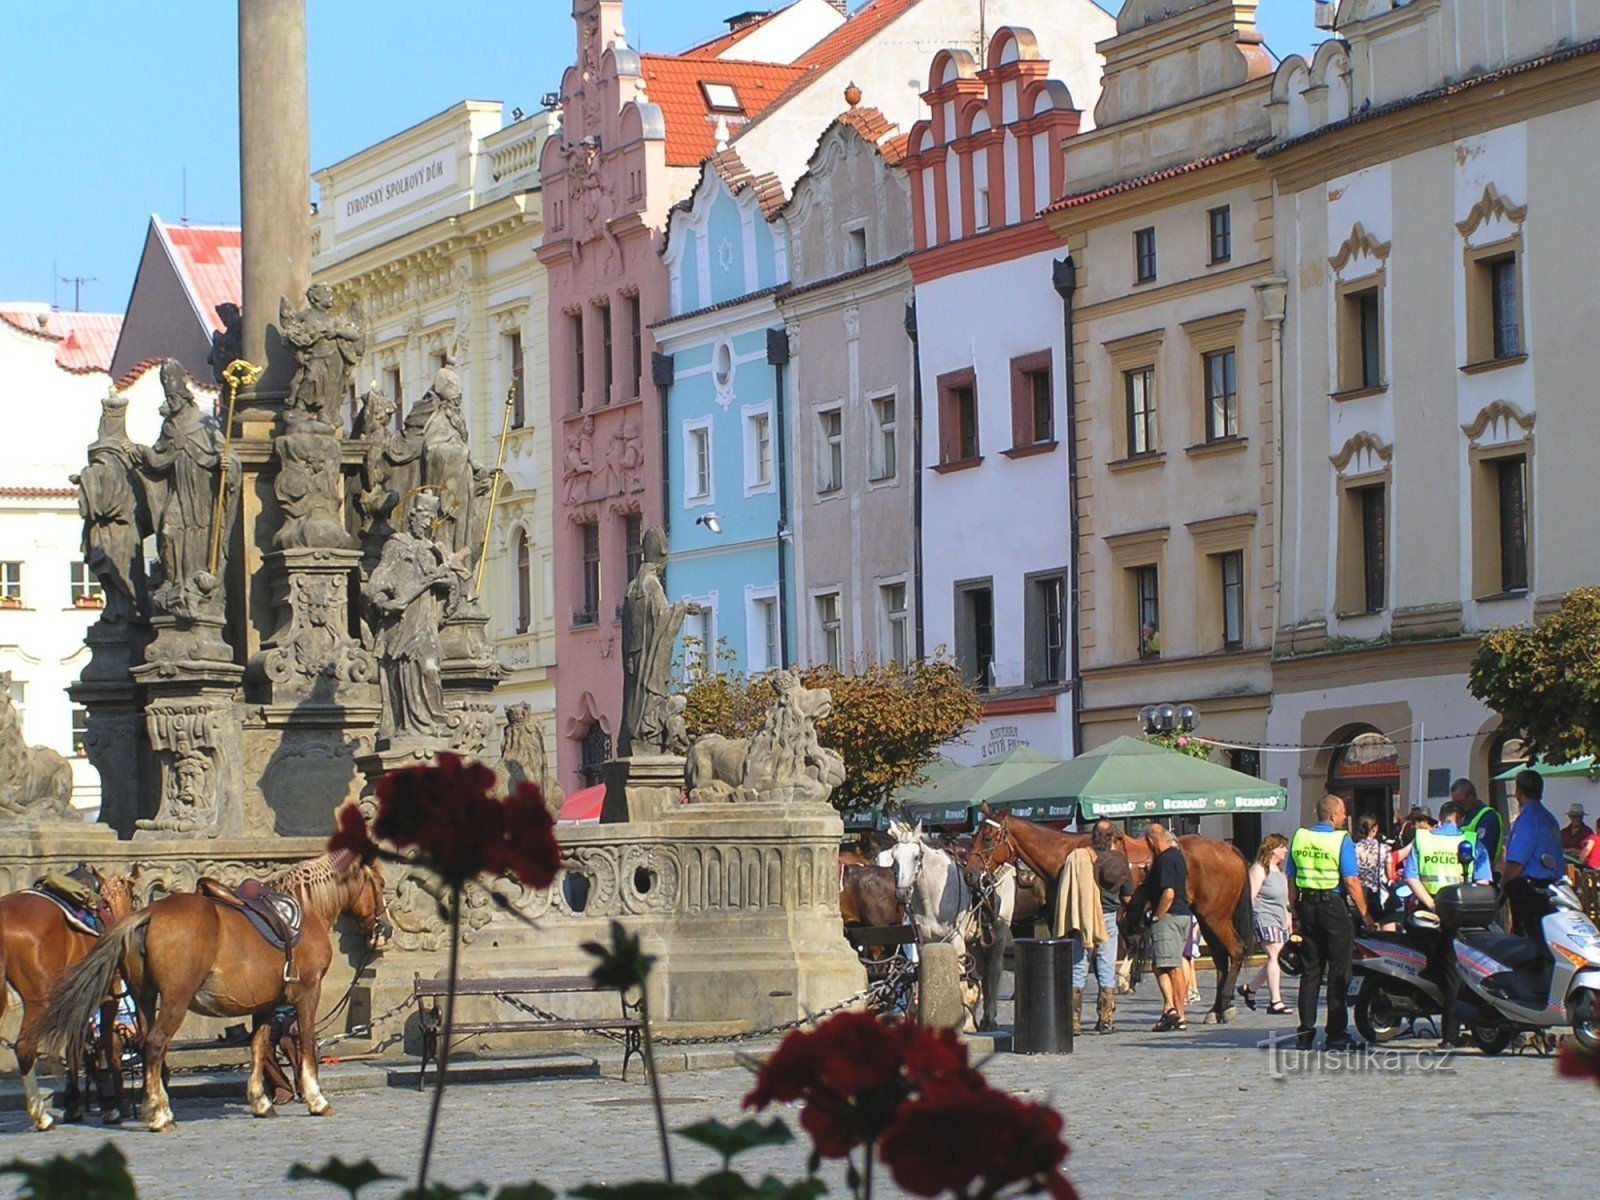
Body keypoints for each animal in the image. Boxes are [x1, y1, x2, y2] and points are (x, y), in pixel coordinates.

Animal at [0, 870, 139, 1132]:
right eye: (135, 898)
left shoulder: (79, 997)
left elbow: (76, 1045)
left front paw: (74, 1105)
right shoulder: (107, 994)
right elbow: (104, 1045)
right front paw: (114, 1105)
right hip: (40, 998)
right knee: (24, 1046)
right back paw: (40, 1115)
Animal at [37, 851, 387, 1132]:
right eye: (381, 883)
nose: (385, 929)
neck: (307, 909)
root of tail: (147, 914)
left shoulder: (265, 1002)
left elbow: (258, 1047)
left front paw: (260, 1101)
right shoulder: (308, 992)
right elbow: (307, 1042)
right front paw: (316, 1099)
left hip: (144, 998)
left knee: (148, 1046)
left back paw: (156, 1106)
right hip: (175, 1000)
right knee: (155, 1045)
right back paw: (159, 1116)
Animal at [966, 809, 1254, 1024]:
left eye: (988, 837)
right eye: (975, 834)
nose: (970, 873)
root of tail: (1228, 849)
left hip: (1216, 917)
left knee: (1236, 951)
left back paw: (1223, 1004)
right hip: (1207, 918)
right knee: (1221, 960)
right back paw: (1216, 1009)